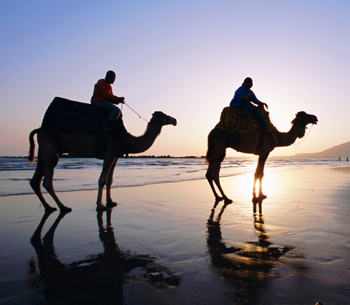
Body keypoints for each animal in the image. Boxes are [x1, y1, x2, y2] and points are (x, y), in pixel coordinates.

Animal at [27, 97, 176, 211]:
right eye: (163, 115)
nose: (174, 120)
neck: (127, 138)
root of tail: (39, 129)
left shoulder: (115, 155)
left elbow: (110, 180)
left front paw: (111, 202)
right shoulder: (110, 152)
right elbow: (102, 179)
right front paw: (100, 205)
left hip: (43, 150)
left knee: (35, 180)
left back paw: (49, 207)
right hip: (50, 149)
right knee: (47, 181)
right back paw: (64, 207)